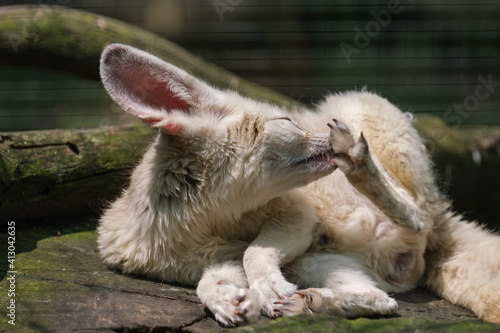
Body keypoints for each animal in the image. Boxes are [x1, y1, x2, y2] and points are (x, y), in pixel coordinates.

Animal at [98, 43, 500, 324]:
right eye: (288, 121)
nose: (326, 137)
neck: (210, 218)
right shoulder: (209, 259)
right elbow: (212, 278)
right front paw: (229, 300)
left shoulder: (297, 213)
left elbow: (254, 252)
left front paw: (265, 288)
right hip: (313, 263)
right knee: (382, 300)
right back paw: (309, 302)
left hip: (360, 107)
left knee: (415, 214)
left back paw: (357, 162)